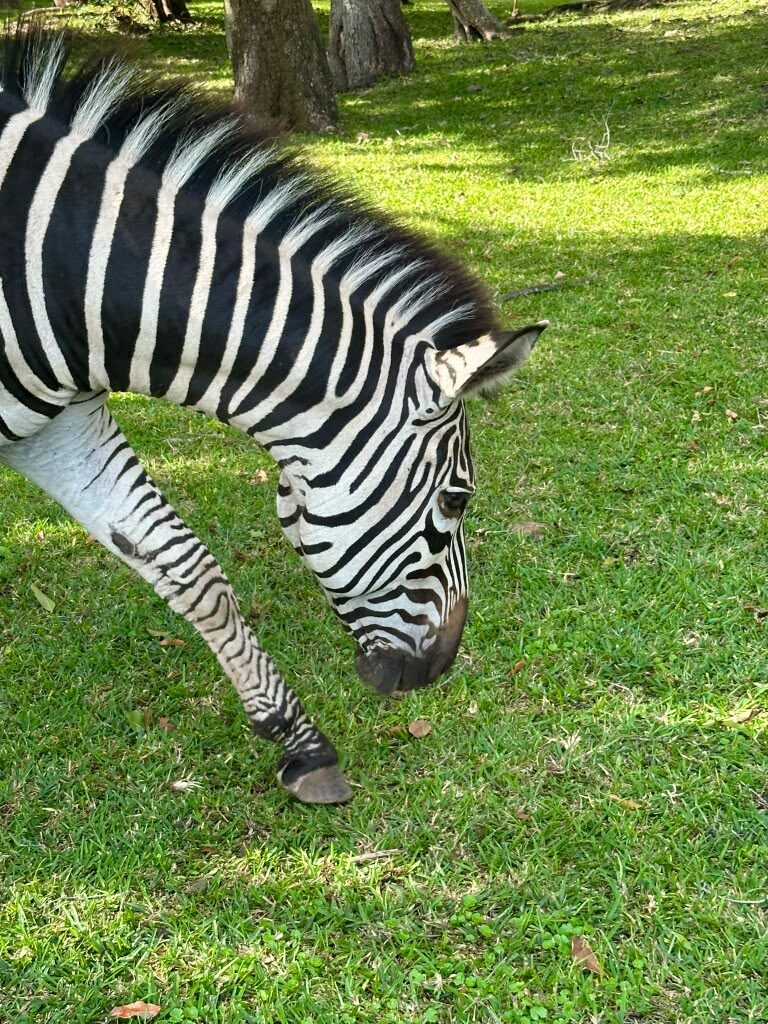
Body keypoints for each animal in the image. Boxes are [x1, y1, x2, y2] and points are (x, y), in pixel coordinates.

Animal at [0, 27, 547, 805]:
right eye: (457, 499)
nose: (438, 671)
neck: (56, 267)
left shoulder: (55, 423)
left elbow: (184, 566)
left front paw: (302, 744)